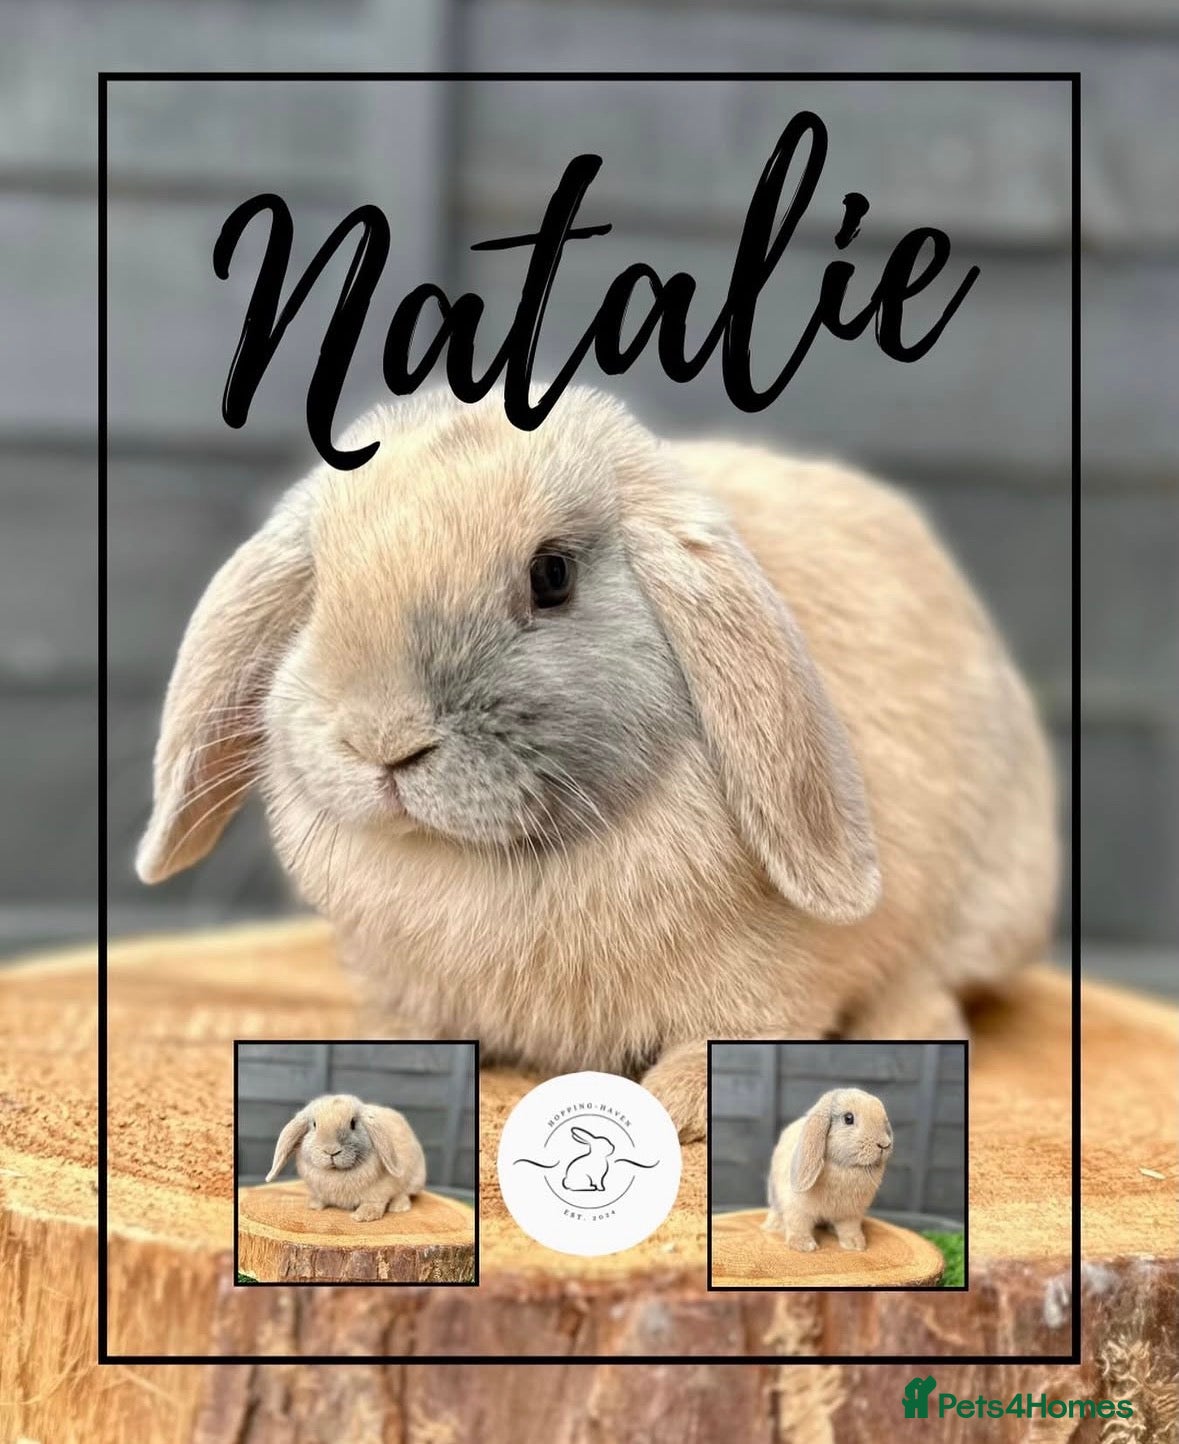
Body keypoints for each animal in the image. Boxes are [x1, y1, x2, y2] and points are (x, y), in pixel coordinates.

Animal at [136, 386, 1058, 1142]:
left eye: (552, 575)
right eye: (319, 585)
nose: (380, 739)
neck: (492, 864)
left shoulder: (773, 981)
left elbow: (737, 1036)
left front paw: (678, 1101)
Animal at [264, 1092, 427, 1221]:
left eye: (353, 1123)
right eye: (314, 1124)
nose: (331, 1151)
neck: (336, 1173)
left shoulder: (380, 1192)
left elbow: (375, 1202)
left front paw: (362, 1216)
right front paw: (314, 1205)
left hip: (415, 1179)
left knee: (405, 1193)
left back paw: (398, 1207)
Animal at [763, 1088, 893, 1252]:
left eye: (884, 1120)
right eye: (848, 1118)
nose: (884, 1144)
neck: (844, 1168)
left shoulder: (850, 1214)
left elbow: (849, 1228)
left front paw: (856, 1244)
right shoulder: (797, 1208)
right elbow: (798, 1224)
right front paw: (804, 1245)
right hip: (774, 1193)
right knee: (775, 1209)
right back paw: (774, 1226)